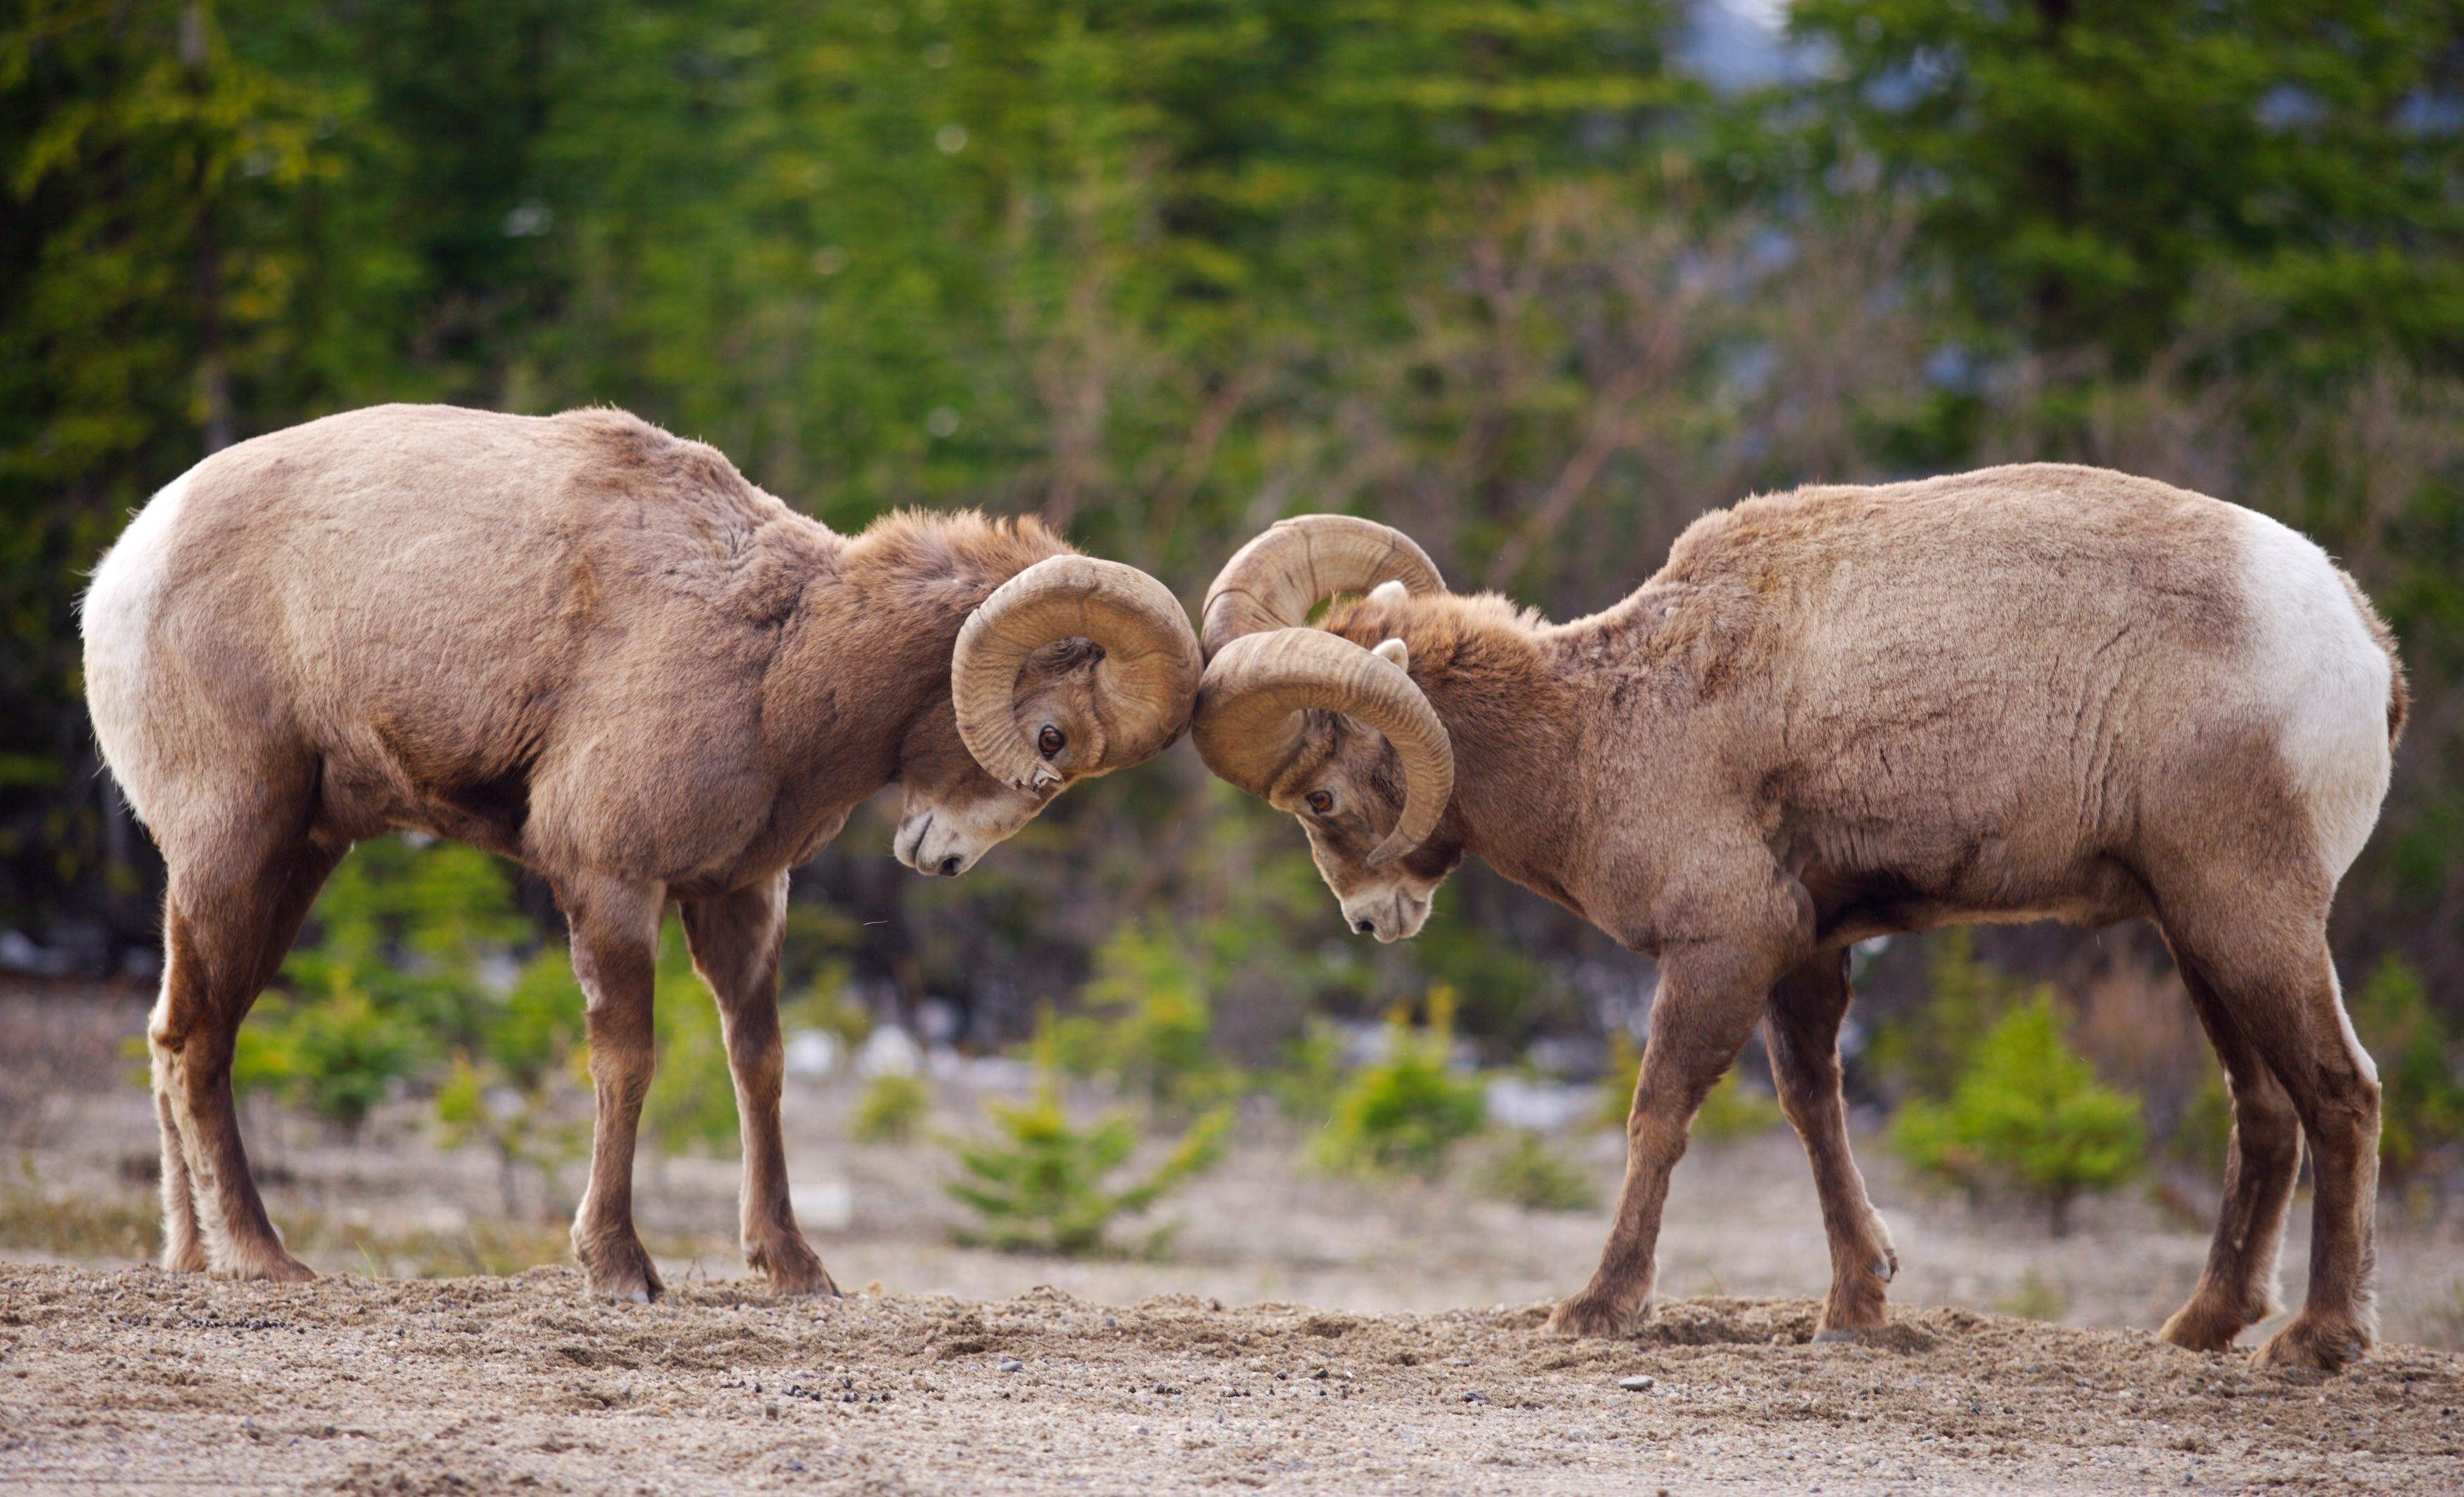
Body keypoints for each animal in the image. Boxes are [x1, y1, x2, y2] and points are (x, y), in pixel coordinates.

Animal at [81, 402, 1200, 1303]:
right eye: (1052, 737)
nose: (944, 859)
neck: (783, 666)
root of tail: (123, 568)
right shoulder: (613, 881)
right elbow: (628, 1064)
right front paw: (621, 1267)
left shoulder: (741, 893)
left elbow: (760, 1063)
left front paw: (794, 1268)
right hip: (238, 845)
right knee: (196, 1041)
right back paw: (265, 1258)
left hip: (296, 860)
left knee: (177, 1030)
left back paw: (193, 1258)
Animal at [1189, 465, 2406, 1371]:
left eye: (1320, 798)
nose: (1373, 922)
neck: (1603, 732)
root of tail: (2360, 643)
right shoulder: (1803, 952)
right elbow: (1814, 1112)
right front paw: (1857, 1306)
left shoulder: (1720, 948)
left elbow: (1657, 1117)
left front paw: (1597, 1307)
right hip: (2198, 931)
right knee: (2265, 1109)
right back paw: (2197, 1329)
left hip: (2248, 914)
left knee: (2342, 1092)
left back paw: (2318, 1341)